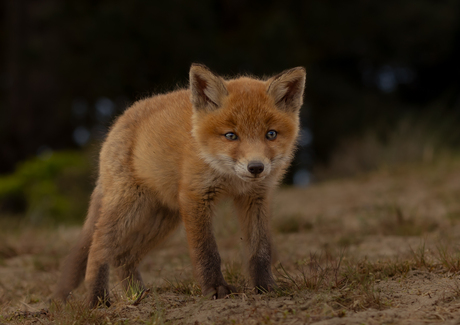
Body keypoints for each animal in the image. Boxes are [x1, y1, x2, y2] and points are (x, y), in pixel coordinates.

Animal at [54, 63, 306, 306]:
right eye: (230, 135)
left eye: (271, 134)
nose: (256, 167)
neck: (230, 178)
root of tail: (119, 121)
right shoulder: (196, 197)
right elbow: (206, 251)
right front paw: (215, 289)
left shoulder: (255, 198)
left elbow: (260, 250)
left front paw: (266, 287)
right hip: (130, 209)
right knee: (98, 248)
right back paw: (97, 300)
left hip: (162, 219)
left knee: (122, 257)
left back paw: (138, 297)